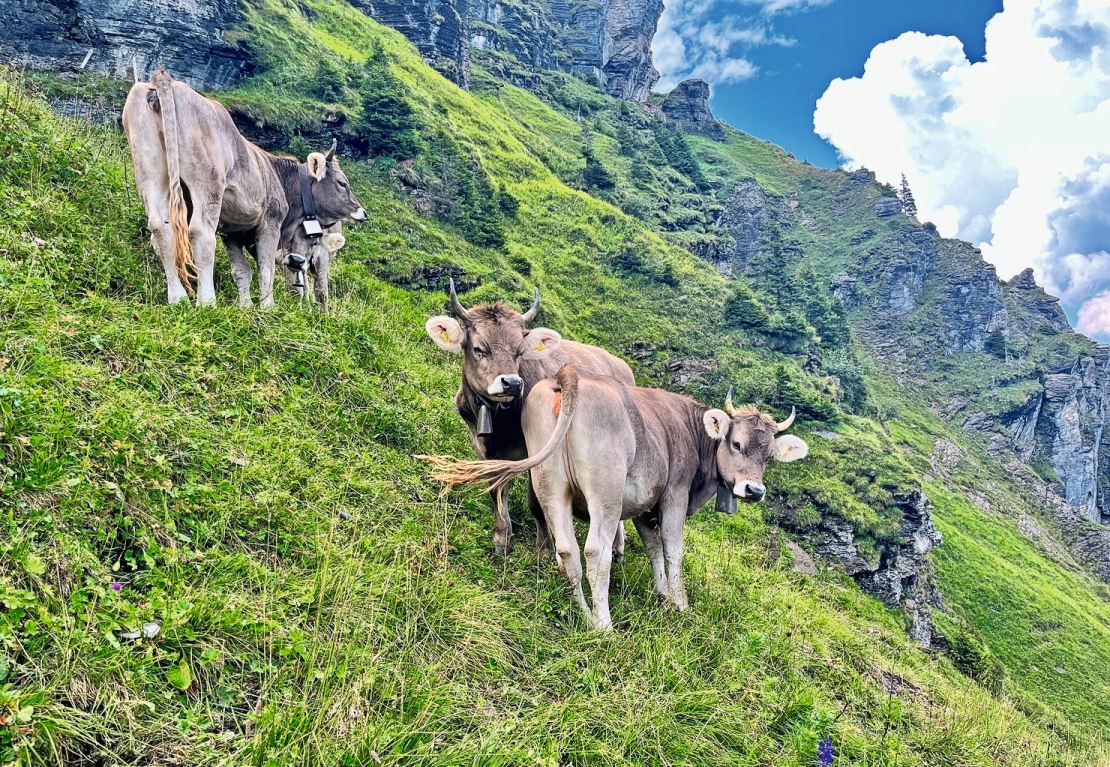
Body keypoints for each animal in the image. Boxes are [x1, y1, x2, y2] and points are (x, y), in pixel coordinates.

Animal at [122, 70, 366, 310]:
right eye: (342, 183)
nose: (362, 212)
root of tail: (167, 80)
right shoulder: (270, 222)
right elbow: (266, 267)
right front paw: (267, 308)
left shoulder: (232, 230)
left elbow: (242, 270)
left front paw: (245, 306)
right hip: (208, 184)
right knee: (200, 231)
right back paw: (207, 302)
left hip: (150, 172)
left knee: (160, 227)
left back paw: (177, 297)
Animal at [421, 278, 634, 554]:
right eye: (479, 348)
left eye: (519, 351)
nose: (511, 383)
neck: (501, 423)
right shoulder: (482, 447)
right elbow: (496, 489)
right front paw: (501, 538)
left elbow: (535, 500)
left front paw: (543, 547)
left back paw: (617, 547)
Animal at [424, 368, 808, 634]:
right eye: (737, 444)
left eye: (769, 456)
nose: (754, 490)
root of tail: (569, 374)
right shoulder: (673, 496)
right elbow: (672, 549)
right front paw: (679, 603)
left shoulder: (641, 504)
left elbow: (653, 547)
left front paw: (662, 593)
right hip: (604, 492)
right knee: (596, 551)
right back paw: (604, 624)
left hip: (551, 485)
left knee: (567, 550)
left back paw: (585, 614)